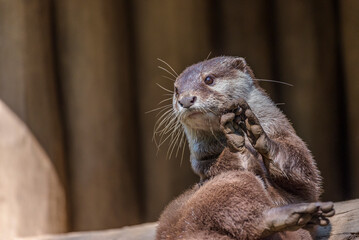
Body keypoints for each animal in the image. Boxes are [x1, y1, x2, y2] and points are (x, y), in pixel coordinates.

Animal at [156, 55, 336, 239]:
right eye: (176, 90)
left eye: (208, 79)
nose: (185, 99)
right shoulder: (202, 160)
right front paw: (235, 144)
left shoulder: (286, 137)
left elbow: (306, 175)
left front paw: (262, 138)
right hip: (224, 188)